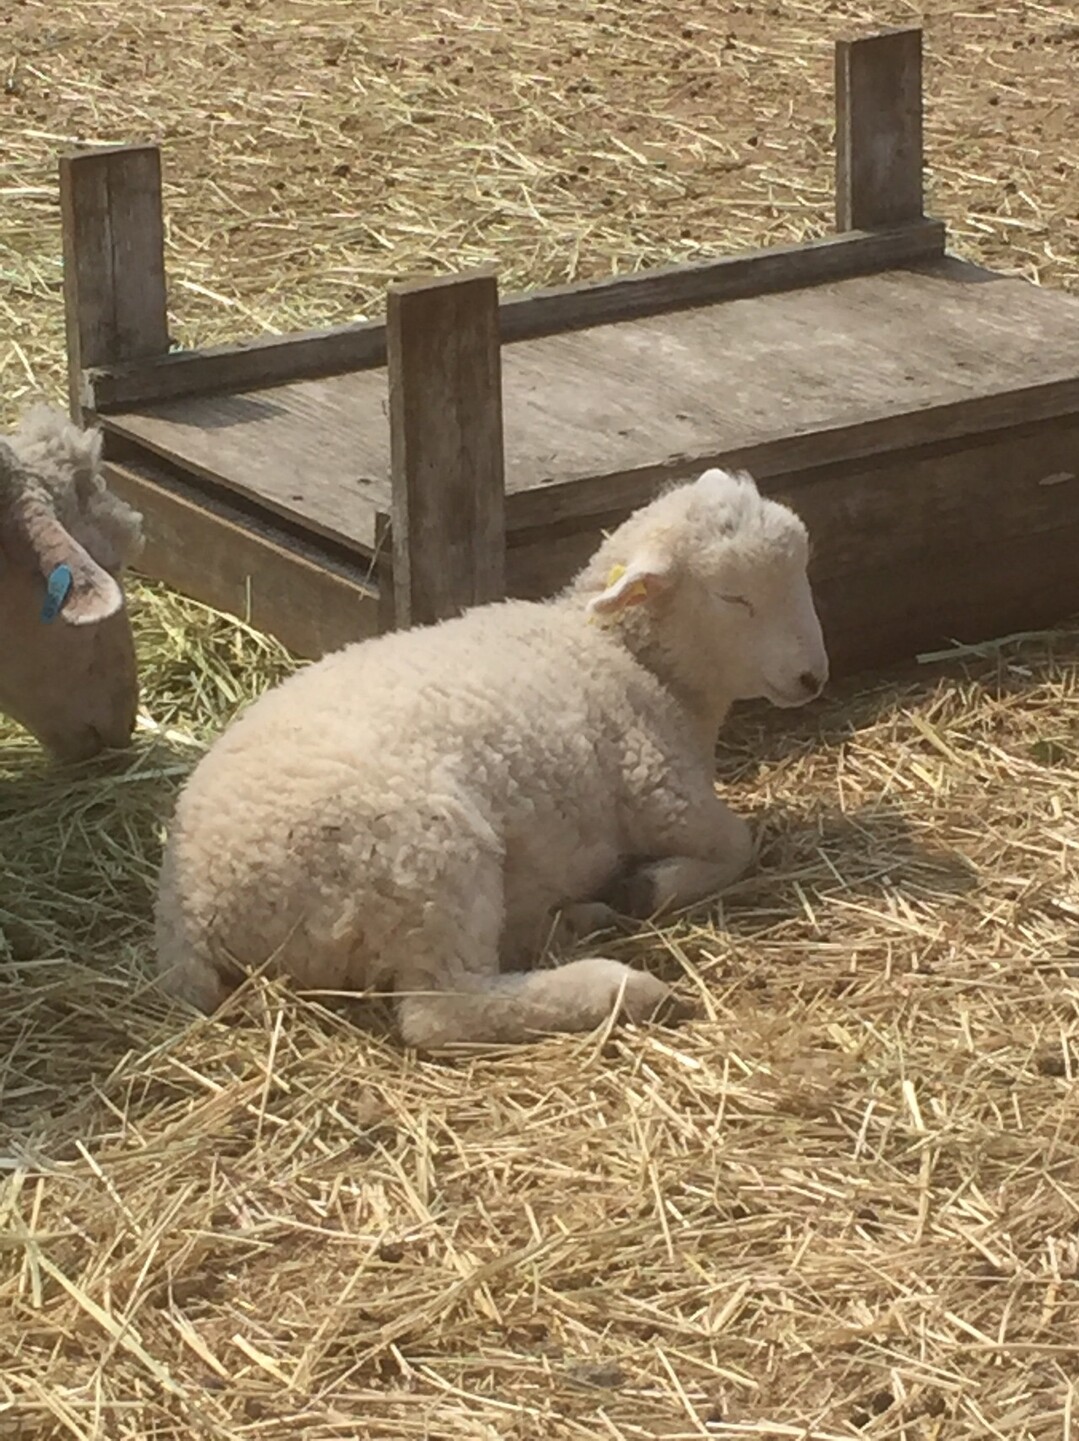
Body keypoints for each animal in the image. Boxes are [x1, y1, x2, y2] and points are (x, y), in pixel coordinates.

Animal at [153, 469, 824, 1049]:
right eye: (733, 596)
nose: (812, 677)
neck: (625, 656)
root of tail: (193, 911)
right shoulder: (658, 787)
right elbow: (739, 843)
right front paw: (654, 886)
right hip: (423, 857)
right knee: (441, 1011)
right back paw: (620, 988)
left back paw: (576, 921)